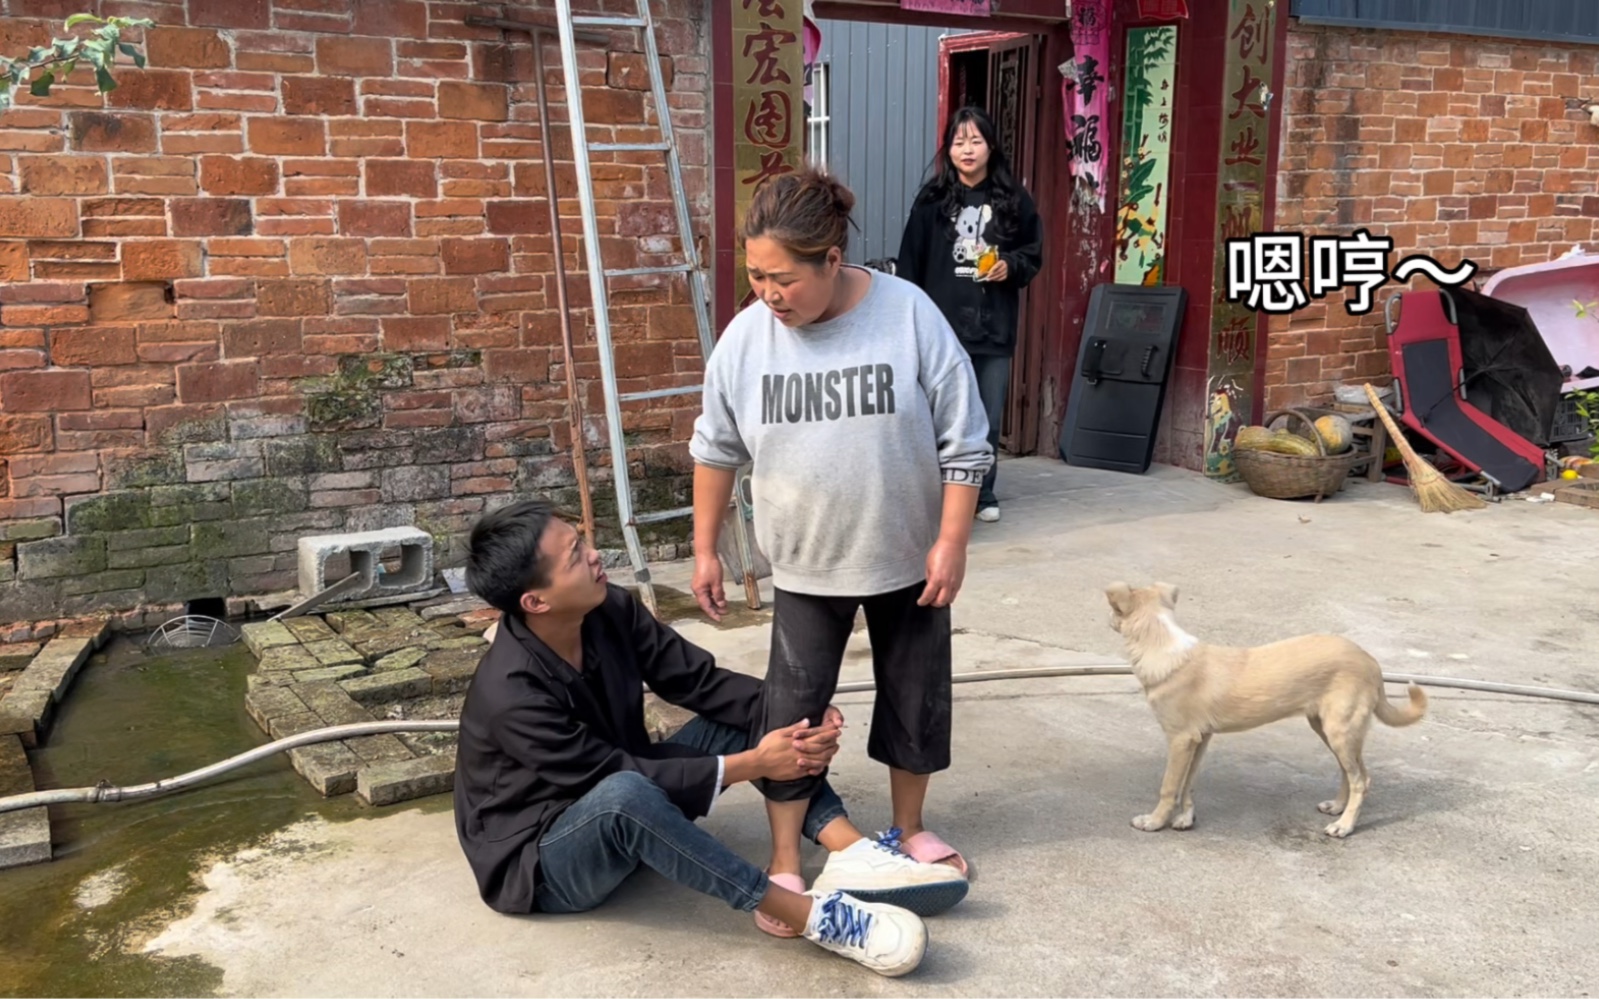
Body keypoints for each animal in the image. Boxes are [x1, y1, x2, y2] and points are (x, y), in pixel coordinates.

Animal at [1106, 581, 1432, 837]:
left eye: (1113, 611)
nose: (1107, 621)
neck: (1160, 644)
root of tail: (1371, 662)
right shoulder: (1200, 739)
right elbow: (1189, 783)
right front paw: (1186, 818)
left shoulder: (1180, 739)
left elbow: (1169, 786)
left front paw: (1154, 822)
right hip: (1329, 728)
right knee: (1354, 773)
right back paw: (1338, 807)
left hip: (1340, 730)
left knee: (1360, 780)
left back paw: (1345, 826)